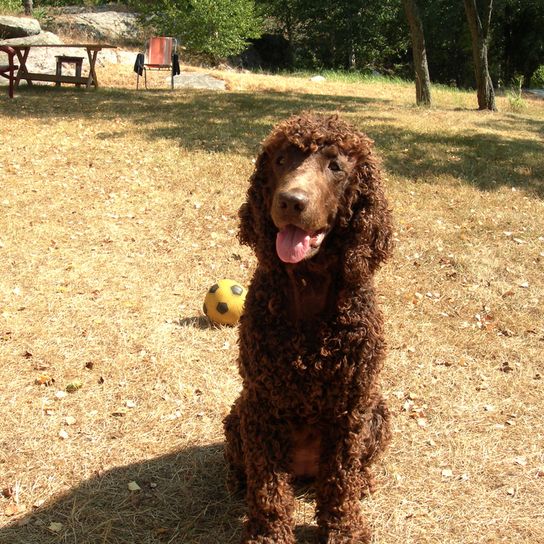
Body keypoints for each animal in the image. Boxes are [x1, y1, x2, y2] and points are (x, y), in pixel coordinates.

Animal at [223, 112, 394, 540]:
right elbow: (268, 485)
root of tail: (302, 474)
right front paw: (268, 534)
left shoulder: (350, 407)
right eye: (281, 160)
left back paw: (363, 483)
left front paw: (344, 530)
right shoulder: (263, 403)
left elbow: (340, 481)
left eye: (336, 166)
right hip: (239, 413)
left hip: (377, 413)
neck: (309, 284)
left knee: (351, 471)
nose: (290, 201)